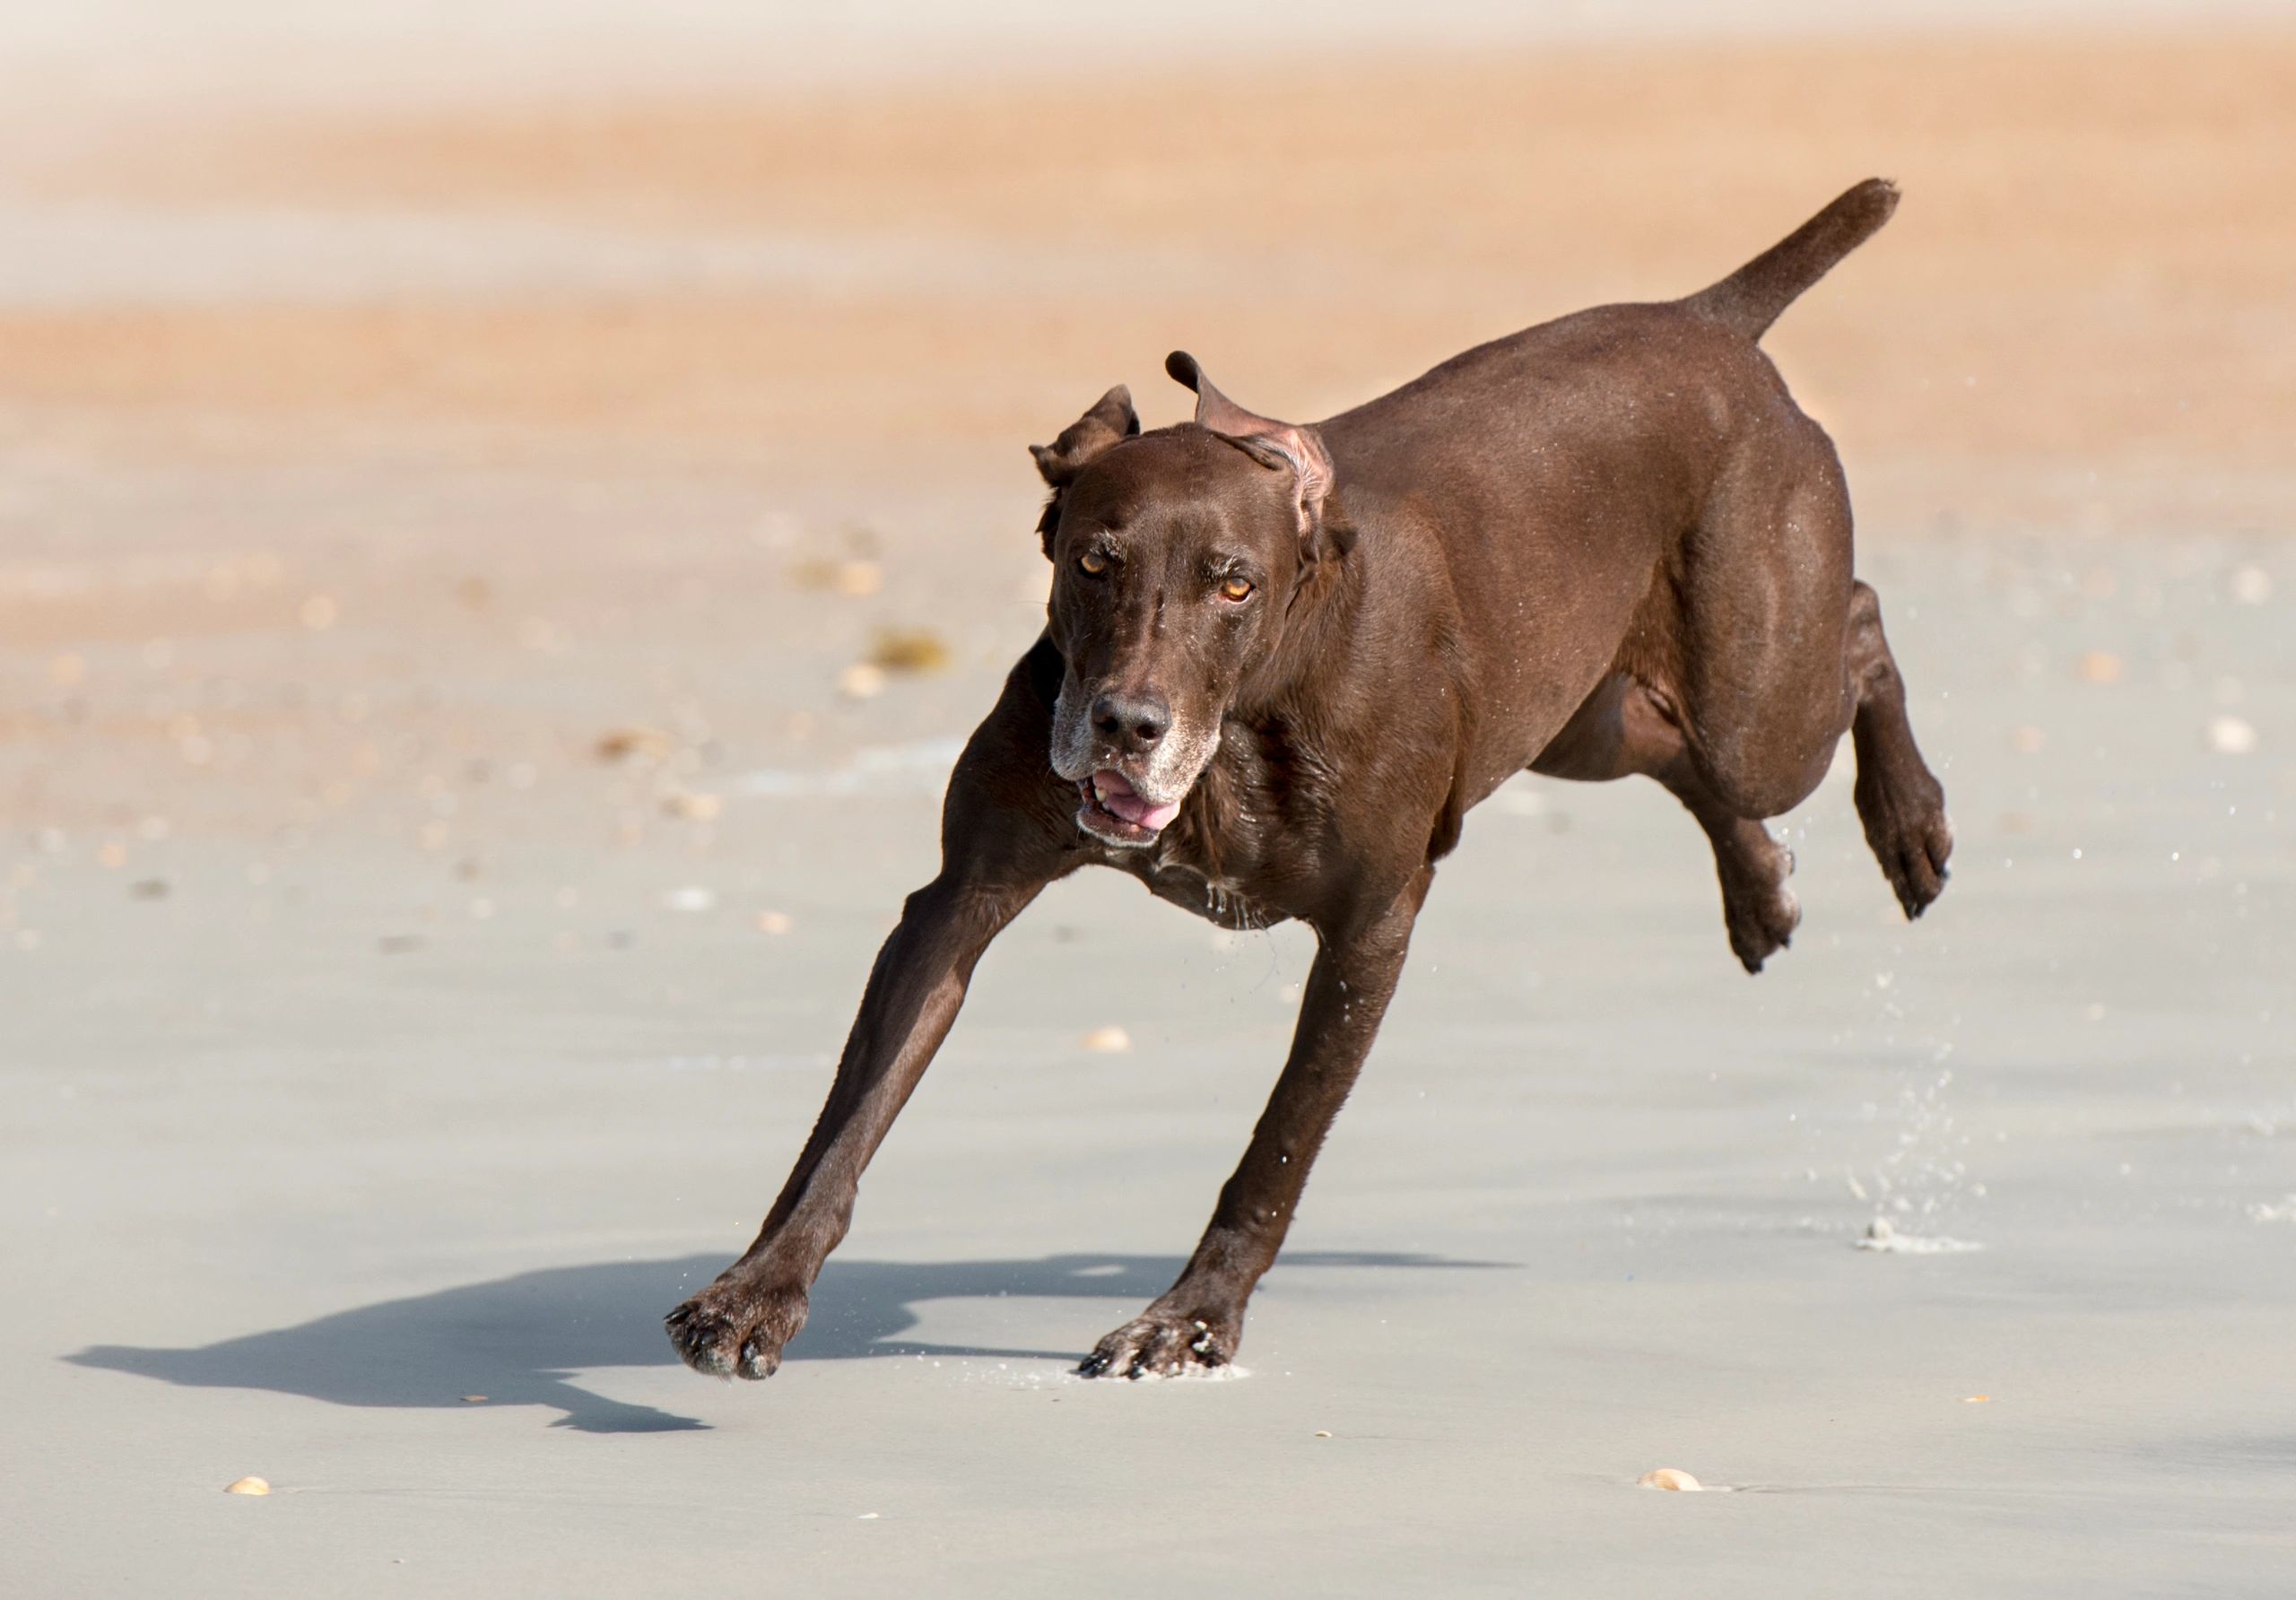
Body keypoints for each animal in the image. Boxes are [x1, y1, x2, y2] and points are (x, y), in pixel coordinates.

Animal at [670, 171, 1956, 1377]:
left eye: (1233, 581)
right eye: (1094, 561)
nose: (1125, 723)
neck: (1249, 711)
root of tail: (1709, 321)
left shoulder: (1371, 923)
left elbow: (1277, 1145)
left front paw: (1190, 1320)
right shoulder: (959, 899)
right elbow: (850, 1121)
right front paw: (757, 1289)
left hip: (1757, 692)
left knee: (1854, 630)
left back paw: (1908, 822)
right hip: (1581, 716)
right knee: (1688, 756)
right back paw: (1761, 887)